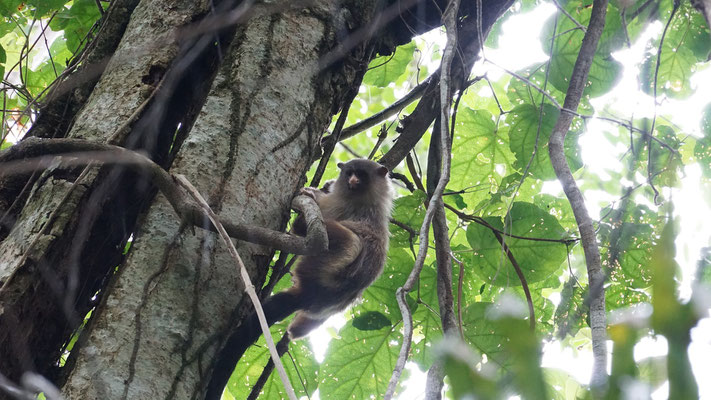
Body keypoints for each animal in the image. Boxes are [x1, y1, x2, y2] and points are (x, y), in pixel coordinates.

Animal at [206, 158, 394, 398]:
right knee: (297, 329)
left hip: (327, 262)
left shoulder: (341, 206)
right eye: (350, 173)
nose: (352, 181)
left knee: (348, 241)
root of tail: (311, 295)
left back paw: (303, 222)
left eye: (361, 175)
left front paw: (313, 195)